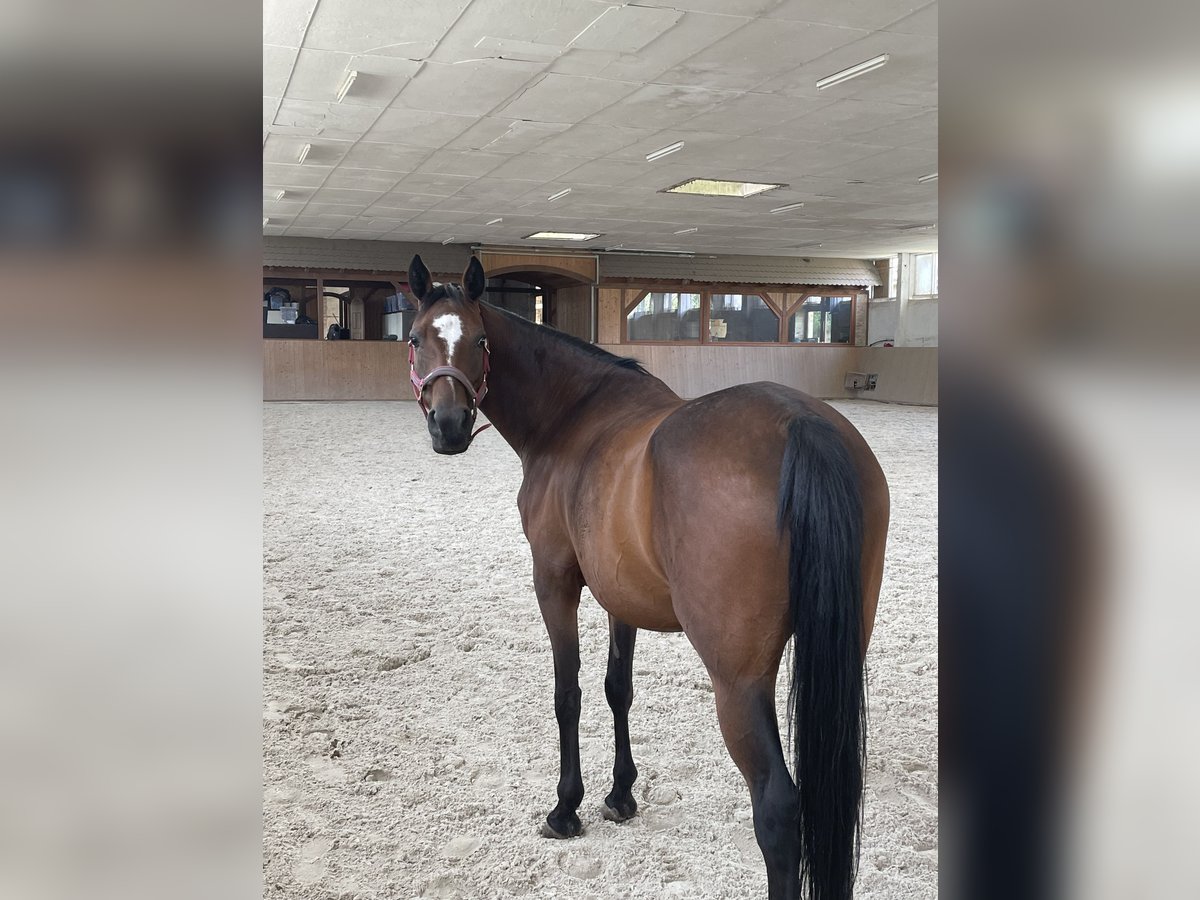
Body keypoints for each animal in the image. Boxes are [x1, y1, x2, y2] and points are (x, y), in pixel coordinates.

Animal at [408, 255, 888, 900]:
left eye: (480, 341)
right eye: (416, 339)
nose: (450, 426)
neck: (574, 417)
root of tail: (801, 425)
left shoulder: (554, 581)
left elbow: (567, 693)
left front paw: (566, 808)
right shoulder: (621, 594)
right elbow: (619, 689)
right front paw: (620, 795)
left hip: (738, 682)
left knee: (779, 808)